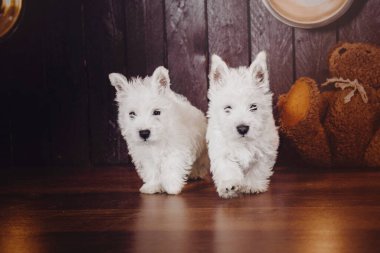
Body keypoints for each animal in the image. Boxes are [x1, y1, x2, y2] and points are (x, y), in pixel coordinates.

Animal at [108, 66, 209, 195]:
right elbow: (152, 170)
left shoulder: (176, 149)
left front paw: (172, 186)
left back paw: (197, 173)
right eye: (132, 114)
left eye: (156, 112)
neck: (156, 141)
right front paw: (153, 186)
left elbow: (171, 166)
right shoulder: (146, 155)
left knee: (200, 161)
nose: (144, 133)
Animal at [206, 52, 280, 198]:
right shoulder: (221, 150)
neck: (243, 142)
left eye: (253, 107)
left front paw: (252, 186)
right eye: (228, 108)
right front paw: (229, 185)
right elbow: (227, 167)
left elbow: (258, 169)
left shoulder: (265, 150)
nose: (242, 128)